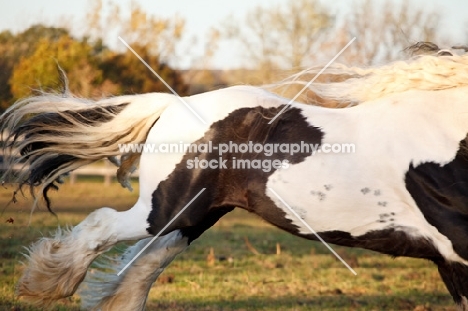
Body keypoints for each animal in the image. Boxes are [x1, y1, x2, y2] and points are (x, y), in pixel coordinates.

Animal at [2, 42, 468, 310]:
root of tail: (172, 104)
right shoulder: (457, 252)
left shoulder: (450, 261)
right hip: (165, 209)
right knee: (103, 227)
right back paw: (42, 285)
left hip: (195, 216)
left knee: (143, 266)